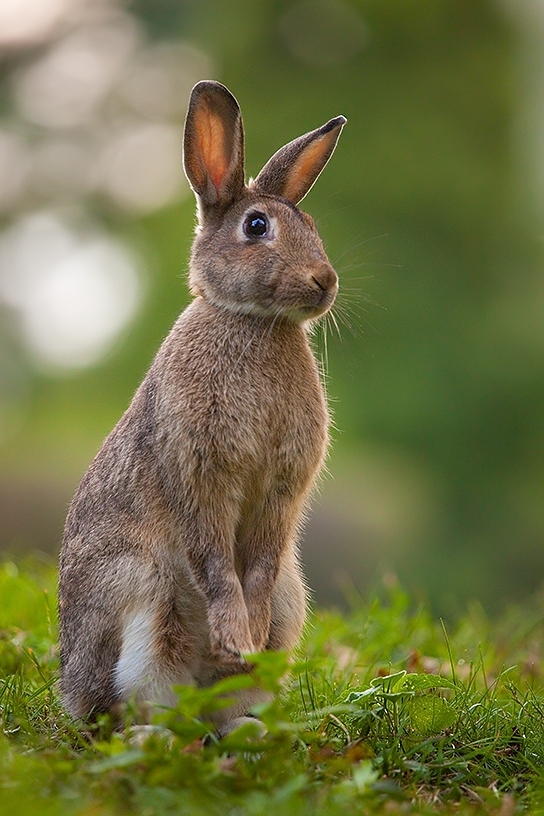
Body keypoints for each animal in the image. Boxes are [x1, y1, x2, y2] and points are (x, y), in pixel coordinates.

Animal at [57, 81, 346, 732]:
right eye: (257, 225)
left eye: (312, 224)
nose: (325, 281)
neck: (256, 323)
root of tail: (72, 689)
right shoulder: (201, 472)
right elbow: (216, 560)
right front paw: (234, 635)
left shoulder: (280, 493)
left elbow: (257, 565)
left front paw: (246, 638)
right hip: (145, 596)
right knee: (140, 703)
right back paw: (156, 733)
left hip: (290, 603)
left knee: (225, 701)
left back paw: (248, 724)